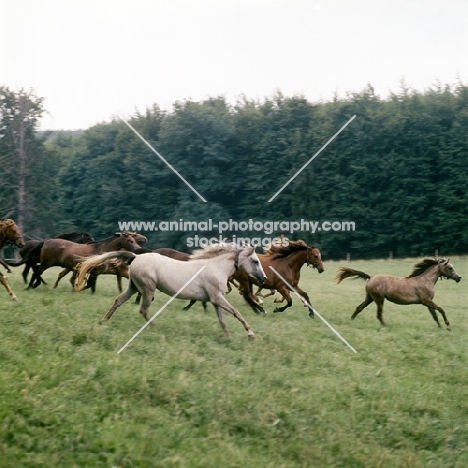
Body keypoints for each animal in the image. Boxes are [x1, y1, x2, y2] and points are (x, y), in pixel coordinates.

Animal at [74, 243, 266, 338]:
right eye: (255, 261)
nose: (263, 278)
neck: (216, 267)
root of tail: (136, 257)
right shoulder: (217, 298)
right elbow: (236, 312)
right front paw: (251, 333)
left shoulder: (215, 300)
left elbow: (223, 320)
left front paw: (228, 337)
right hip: (148, 289)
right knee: (143, 310)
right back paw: (154, 326)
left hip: (133, 287)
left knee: (118, 300)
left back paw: (104, 320)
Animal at [334, 258, 462, 330]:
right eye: (450, 268)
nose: (459, 278)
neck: (426, 280)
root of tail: (370, 277)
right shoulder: (427, 301)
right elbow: (441, 310)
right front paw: (448, 326)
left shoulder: (427, 302)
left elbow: (434, 315)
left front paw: (440, 327)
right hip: (379, 299)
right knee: (379, 315)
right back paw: (386, 326)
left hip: (369, 298)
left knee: (359, 308)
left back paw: (351, 320)